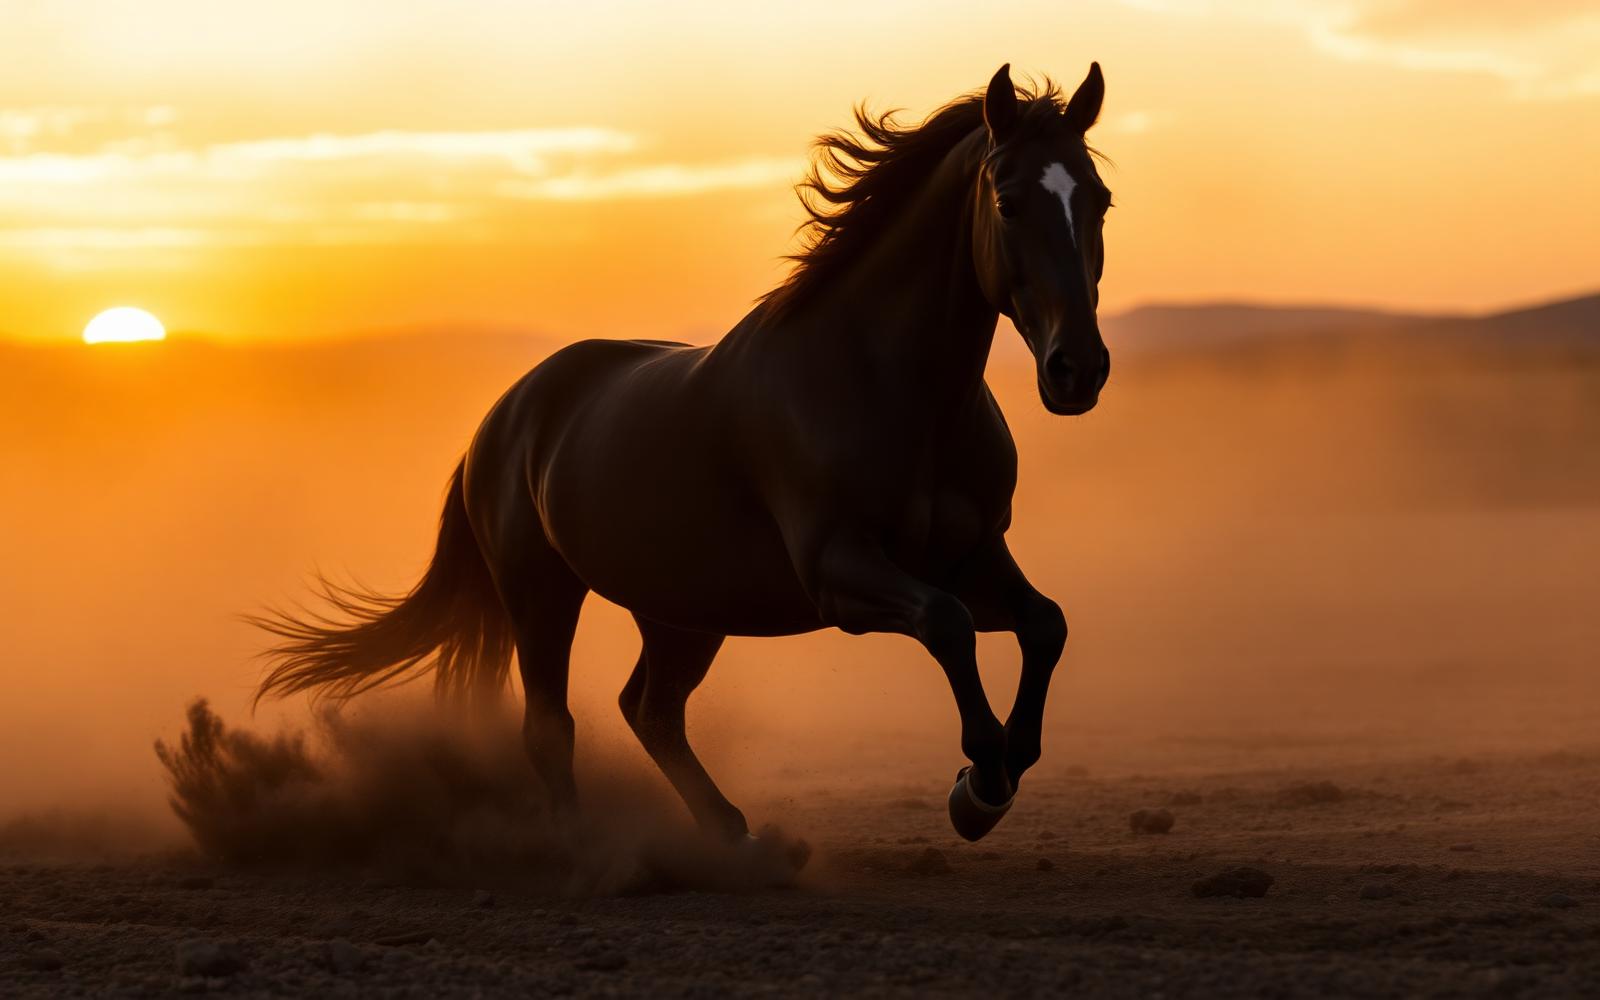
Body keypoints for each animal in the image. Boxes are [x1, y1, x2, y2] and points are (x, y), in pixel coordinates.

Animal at [254, 62, 1113, 847]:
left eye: (1099, 199)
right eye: (1008, 200)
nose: (1077, 368)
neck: (888, 390)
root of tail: (501, 420)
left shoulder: (972, 554)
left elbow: (1045, 624)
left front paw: (999, 773)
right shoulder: (841, 574)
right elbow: (948, 624)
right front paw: (979, 784)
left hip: (683, 611)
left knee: (651, 709)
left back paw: (728, 832)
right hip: (542, 593)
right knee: (553, 726)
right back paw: (586, 849)